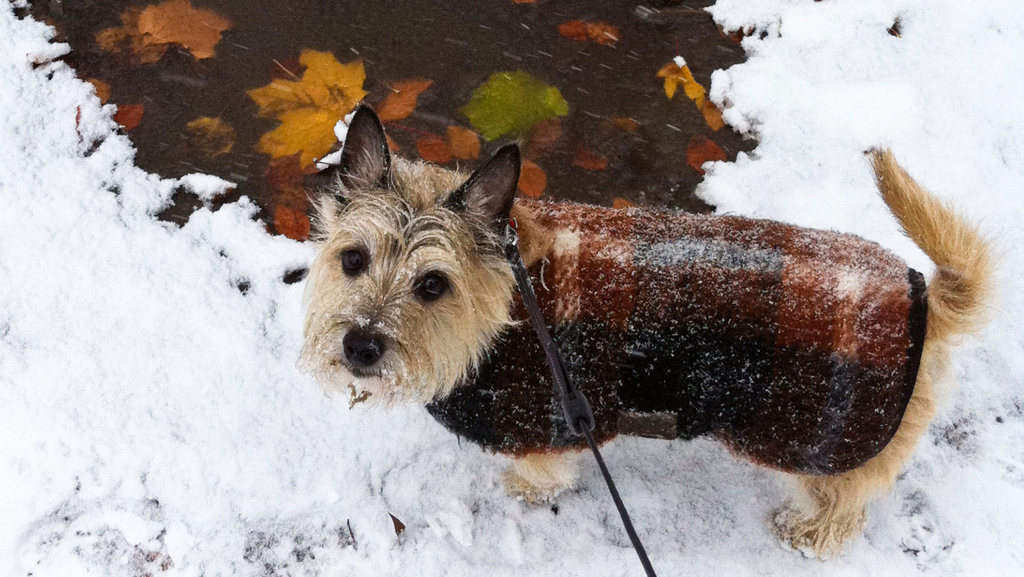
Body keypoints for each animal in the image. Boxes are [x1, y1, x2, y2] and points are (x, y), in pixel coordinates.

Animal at [301, 106, 991, 557]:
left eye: (432, 286)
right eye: (353, 259)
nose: (360, 346)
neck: (510, 299)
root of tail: (923, 295)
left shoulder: (547, 423)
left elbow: (541, 475)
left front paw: (523, 492)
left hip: (819, 441)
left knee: (846, 503)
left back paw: (811, 532)